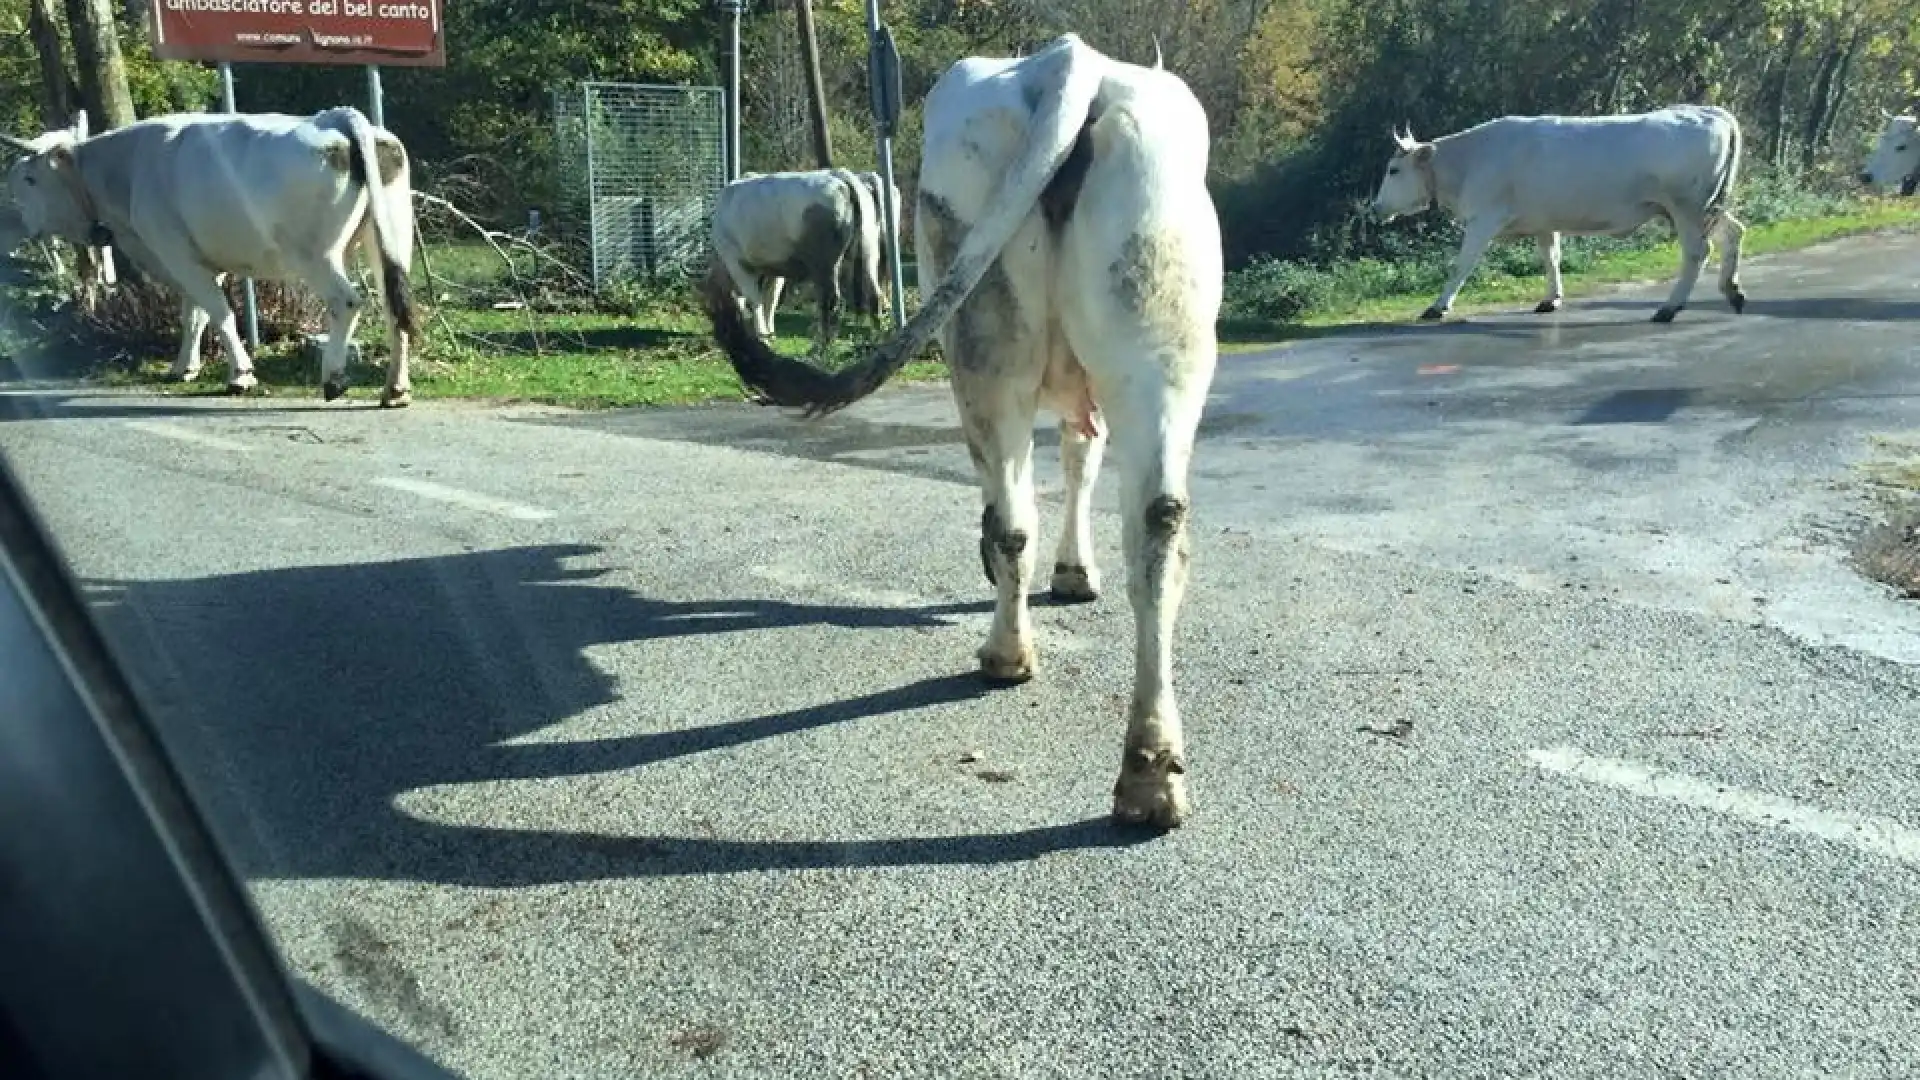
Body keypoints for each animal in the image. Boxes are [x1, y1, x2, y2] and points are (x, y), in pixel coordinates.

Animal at [0, 105, 418, 403]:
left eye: (29, 179)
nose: (15, 221)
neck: (128, 169)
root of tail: (335, 117)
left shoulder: (176, 252)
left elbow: (219, 313)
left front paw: (241, 375)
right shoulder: (196, 260)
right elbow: (194, 316)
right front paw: (184, 368)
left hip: (316, 255)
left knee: (347, 302)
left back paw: (334, 379)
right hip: (391, 239)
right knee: (393, 306)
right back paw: (395, 389)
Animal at [710, 166, 879, 349]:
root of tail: (838, 174)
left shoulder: (736, 263)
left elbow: (755, 300)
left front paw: (763, 338)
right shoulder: (774, 270)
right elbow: (771, 300)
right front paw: (770, 335)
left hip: (824, 263)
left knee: (831, 300)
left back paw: (823, 345)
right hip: (868, 249)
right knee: (874, 293)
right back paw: (876, 336)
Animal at [1367, 104, 1758, 322]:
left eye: (1393, 170)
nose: (1376, 207)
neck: (1470, 160)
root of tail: (1712, 112)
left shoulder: (1483, 219)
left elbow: (1461, 265)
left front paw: (1438, 306)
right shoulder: (1544, 220)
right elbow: (1551, 257)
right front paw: (1551, 298)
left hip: (1686, 206)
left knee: (1698, 252)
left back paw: (1669, 309)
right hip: (1709, 206)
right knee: (1733, 233)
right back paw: (1733, 291)